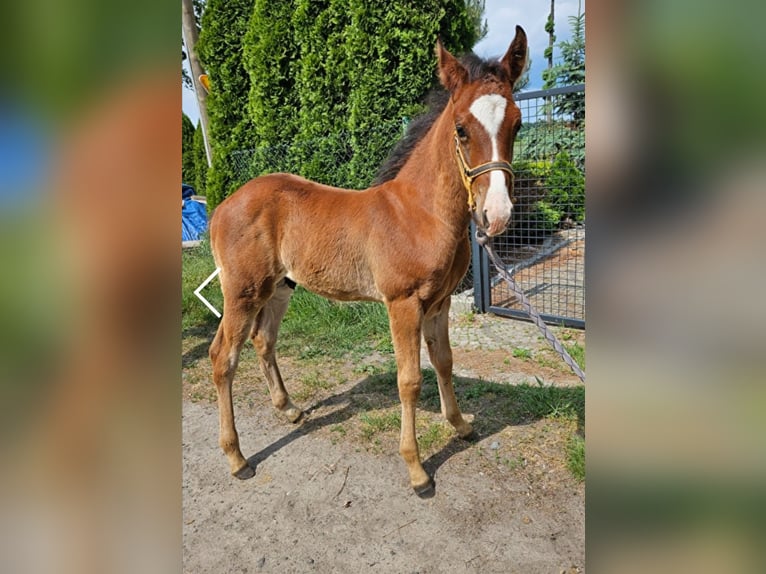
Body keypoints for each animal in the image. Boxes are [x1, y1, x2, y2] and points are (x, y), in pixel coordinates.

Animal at [208, 27, 528, 496]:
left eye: (517, 123)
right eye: (461, 129)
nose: (498, 215)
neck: (421, 212)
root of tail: (222, 206)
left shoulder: (439, 303)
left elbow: (445, 362)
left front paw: (461, 426)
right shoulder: (403, 304)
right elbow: (409, 380)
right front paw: (417, 470)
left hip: (281, 287)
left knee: (263, 340)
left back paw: (290, 410)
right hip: (242, 291)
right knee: (222, 358)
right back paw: (236, 458)